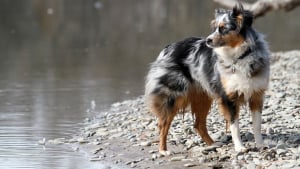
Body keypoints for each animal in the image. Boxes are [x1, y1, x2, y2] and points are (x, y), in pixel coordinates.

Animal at [144, 2, 270, 156]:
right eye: (214, 27)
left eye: (223, 28)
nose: (208, 40)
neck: (240, 56)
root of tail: (168, 48)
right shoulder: (229, 97)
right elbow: (234, 125)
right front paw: (240, 147)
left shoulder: (256, 95)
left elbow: (257, 125)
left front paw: (261, 145)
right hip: (174, 96)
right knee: (163, 124)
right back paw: (163, 150)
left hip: (202, 97)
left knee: (198, 124)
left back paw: (213, 145)